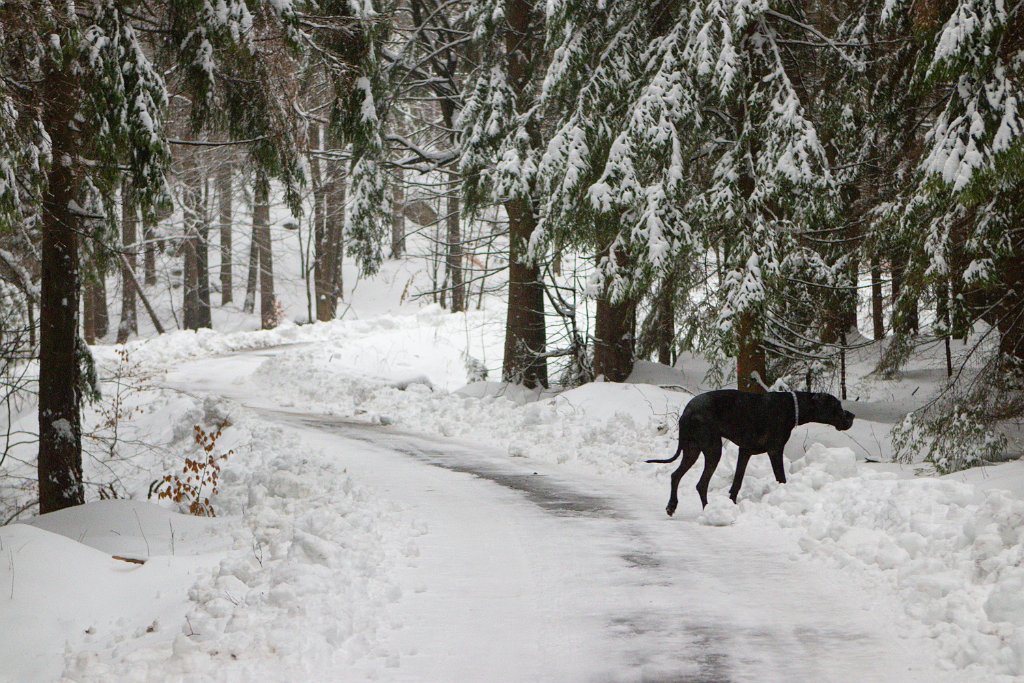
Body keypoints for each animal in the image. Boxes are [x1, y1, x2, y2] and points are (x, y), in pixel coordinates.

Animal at [647, 389, 856, 511]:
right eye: (838, 406)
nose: (852, 415)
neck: (793, 407)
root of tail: (687, 411)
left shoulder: (745, 451)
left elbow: (737, 482)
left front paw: (732, 503)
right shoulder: (775, 450)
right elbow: (781, 478)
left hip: (692, 449)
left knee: (675, 475)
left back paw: (672, 506)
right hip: (713, 449)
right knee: (701, 484)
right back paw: (708, 509)